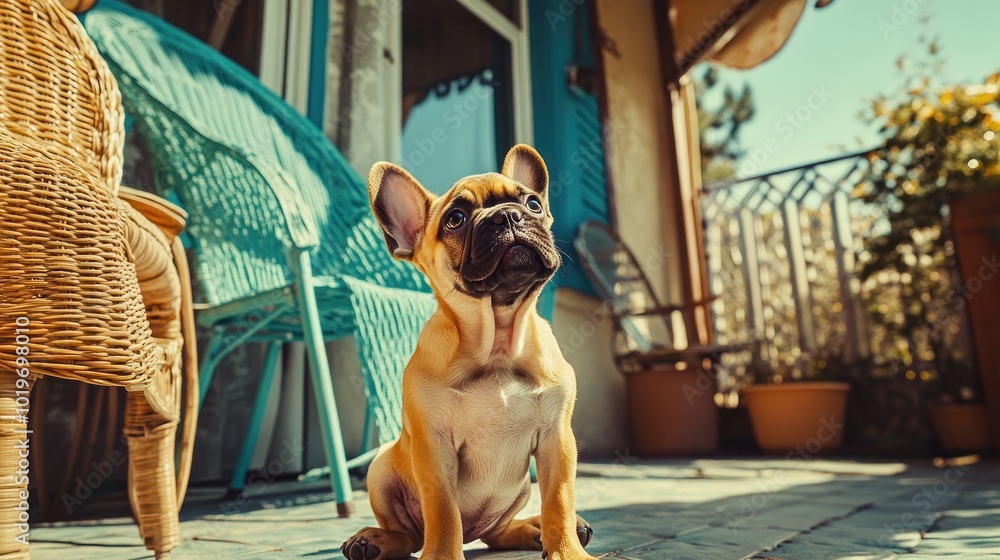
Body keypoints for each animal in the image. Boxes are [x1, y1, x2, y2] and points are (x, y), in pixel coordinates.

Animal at [344, 145, 592, 560]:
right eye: (455, 219)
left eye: (533, 203)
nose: (508, 215)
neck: (498, 347)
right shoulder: (435, 447)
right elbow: (443, 509)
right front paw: (443, 554)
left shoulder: (557, 439)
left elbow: (558, 499)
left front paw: (566, 549)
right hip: (380, 470)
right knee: (410, 535)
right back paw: (374, 540)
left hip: (517, 492)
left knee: (499, 531)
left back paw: (535, 528)